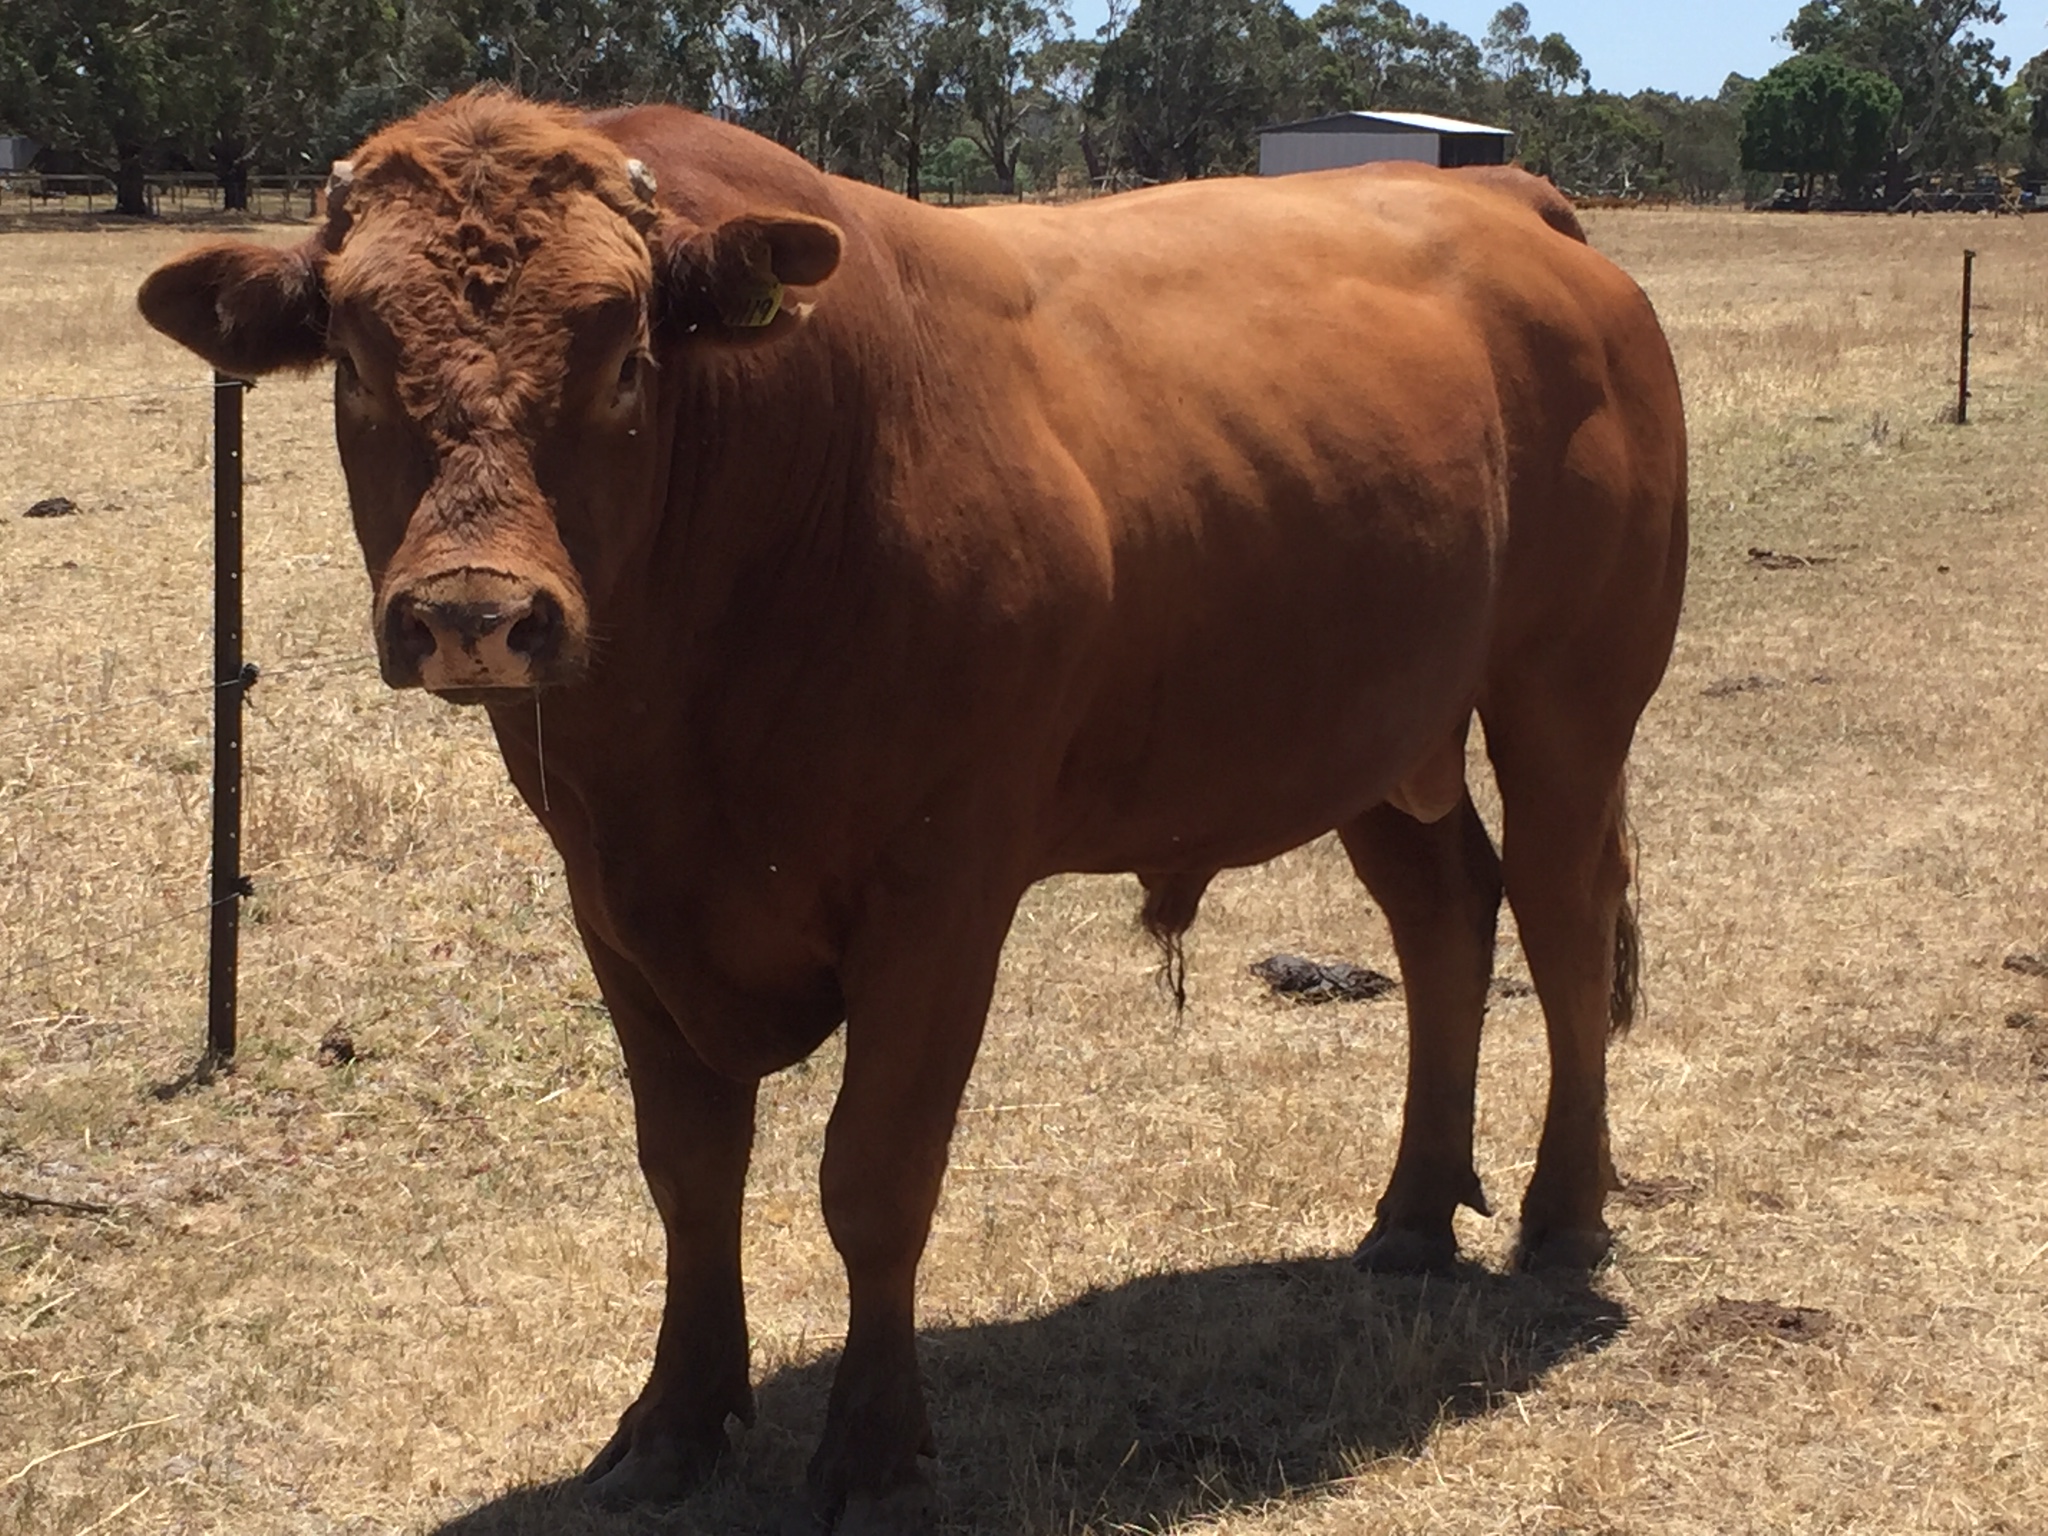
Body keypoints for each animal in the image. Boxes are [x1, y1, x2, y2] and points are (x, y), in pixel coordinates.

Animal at [138, 92, 1687, 1533]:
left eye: (627, 353)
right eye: (352, 359)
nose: (474, 613)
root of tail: (1510, 200)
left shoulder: (941, 887)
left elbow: (874, 1175)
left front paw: (874, 1455)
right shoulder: (614, 898)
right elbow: (688, 1170)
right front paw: (674, 1420)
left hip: (1566, 699)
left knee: (1561, 921)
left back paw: (1562, 1215)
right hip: (1369, 728)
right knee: (1444, 920)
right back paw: (1414, 1214)